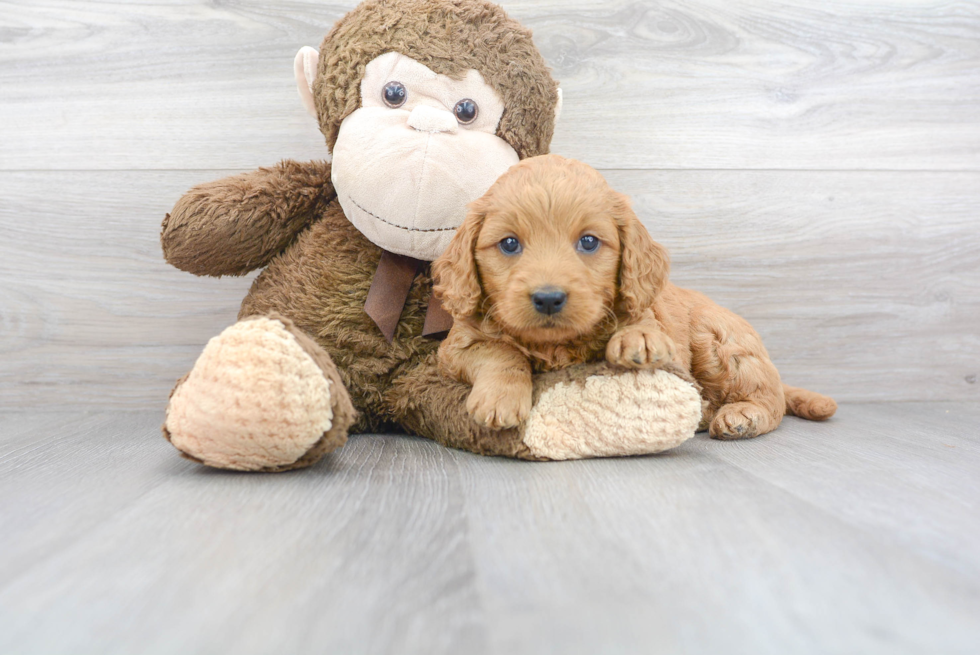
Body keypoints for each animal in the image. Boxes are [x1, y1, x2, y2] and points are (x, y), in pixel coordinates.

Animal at [432, 155, 840, 440]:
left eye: (589, 242)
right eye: (509, 244)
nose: (548, 298)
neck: (554, 345)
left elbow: (644, 321)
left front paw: (638, 337)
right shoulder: (456, 347)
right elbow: (501, 351)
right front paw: (500, 398)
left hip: (721, 344)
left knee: (772, 400)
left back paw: (740, 416)